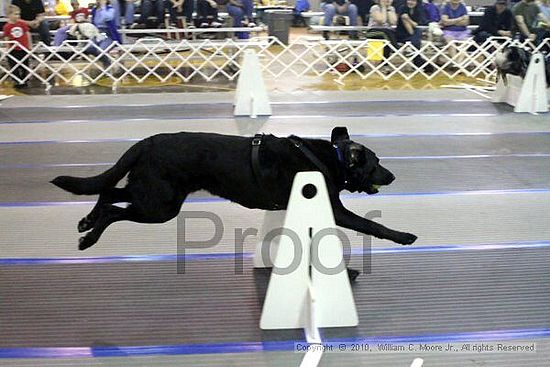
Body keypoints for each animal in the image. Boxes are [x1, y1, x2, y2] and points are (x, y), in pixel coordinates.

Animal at [54, 127, 420, 253]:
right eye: (376, 162)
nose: (392, 176)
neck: (332, 159)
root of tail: (147, 142)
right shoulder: (337, 210)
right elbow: (371, 224)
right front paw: (403, 236)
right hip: (160, 206)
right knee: (113, 208)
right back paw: (89, 238)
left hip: (154, 194)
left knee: (108, 193)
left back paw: (86, 222)